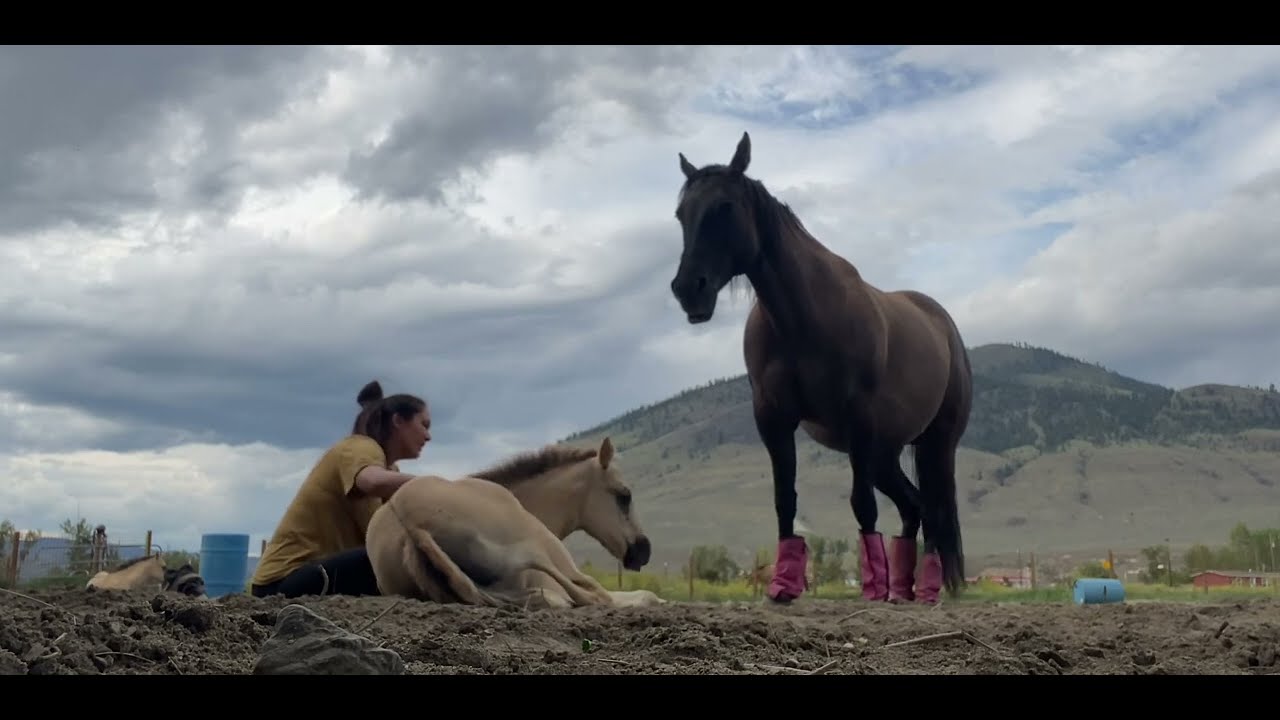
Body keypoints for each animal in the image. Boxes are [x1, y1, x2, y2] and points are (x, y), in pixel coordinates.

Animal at [365, 436, 665, 609]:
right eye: (624, 495)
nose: (644, 550)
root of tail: (411, 525)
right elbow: (642, 595)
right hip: (542, 546)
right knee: (593, 596)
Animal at [667, 131, 972, 605]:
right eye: (682, 214)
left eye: (725, 207)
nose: (687, 289)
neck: (803, 318)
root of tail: (942, 324)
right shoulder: (773, 419)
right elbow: (785, 501)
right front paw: (783, 584)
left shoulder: (858, 417)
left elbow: (862, 504)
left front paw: (871, 588)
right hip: (884, 453)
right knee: (915, 507)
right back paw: (901, 589)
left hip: (933, 444)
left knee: (935, 509)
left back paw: (924, 588)